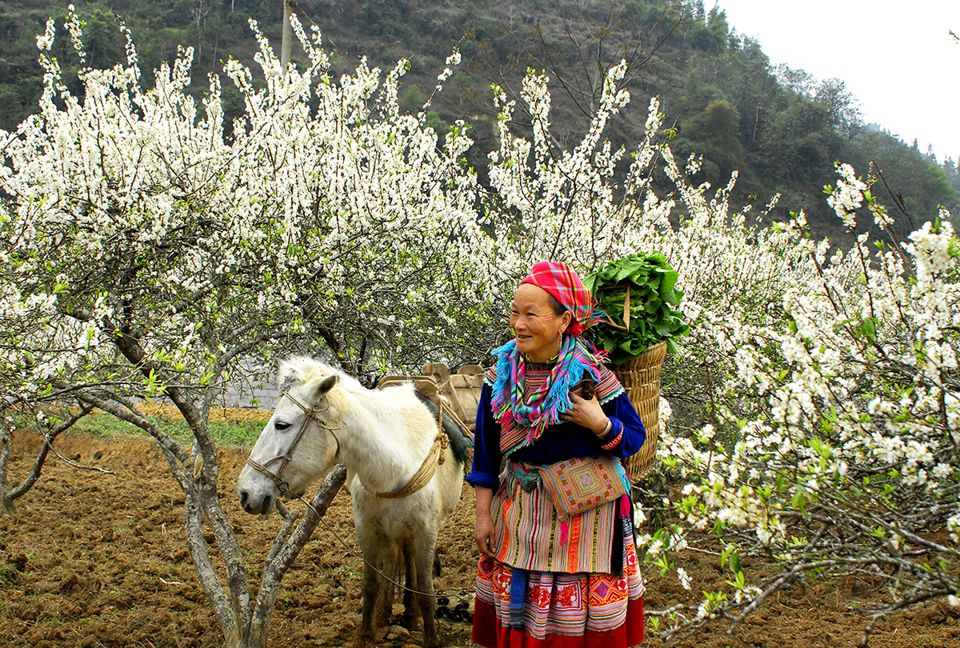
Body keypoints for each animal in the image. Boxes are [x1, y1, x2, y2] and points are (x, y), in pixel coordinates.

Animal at [236, 360, 468, 648]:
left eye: (281, 424)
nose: (245, 492)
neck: (395, 466)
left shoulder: (426, 531)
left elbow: (426, 589)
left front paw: (430, 637)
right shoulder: (366, 529)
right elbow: (370, 584)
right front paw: (366, 635)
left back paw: (412, 617)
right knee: (392, 560)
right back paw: (384, 619)